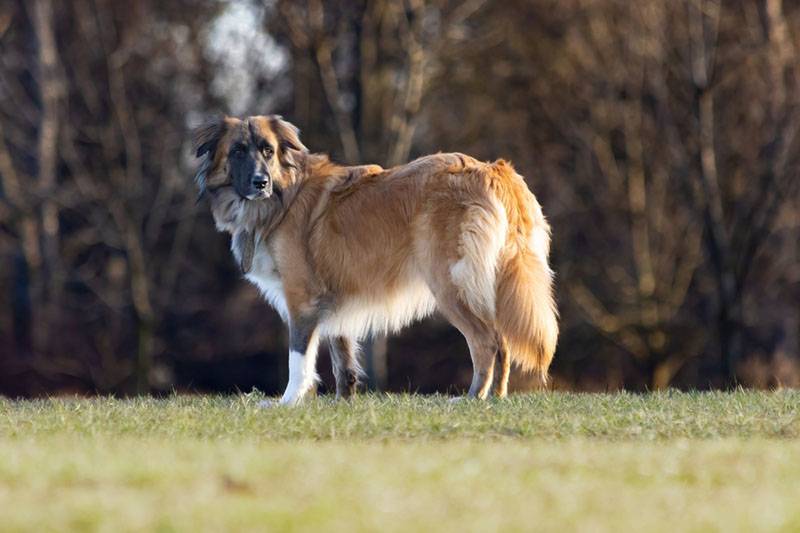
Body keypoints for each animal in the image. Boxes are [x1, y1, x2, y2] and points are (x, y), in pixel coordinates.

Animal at [193, 115, 556, 404]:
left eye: (267, 150)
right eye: (238, 151)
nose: (260, 182)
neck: (283, 197)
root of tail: (493, 169)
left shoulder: (301, 300)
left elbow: (298, 359)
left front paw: (287, 402)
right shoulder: (331, 300)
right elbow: (342, 358)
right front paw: (343, 402)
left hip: (450, 284)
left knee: (486, 341)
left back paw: (472, 398)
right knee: (503, 341)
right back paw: (496, 397)